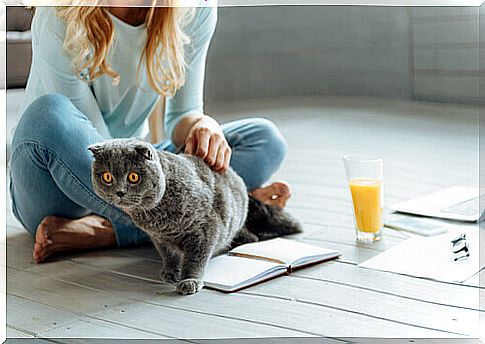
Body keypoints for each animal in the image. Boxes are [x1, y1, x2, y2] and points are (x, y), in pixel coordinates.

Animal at [87, 138, 298, 294]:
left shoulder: (205, 229)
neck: (156, 219)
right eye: (107, 177)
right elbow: (168, 255)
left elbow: (195, 258)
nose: (120, 192)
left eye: (133, 177)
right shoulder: (159, 239)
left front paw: (189, 280)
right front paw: (170, 272)